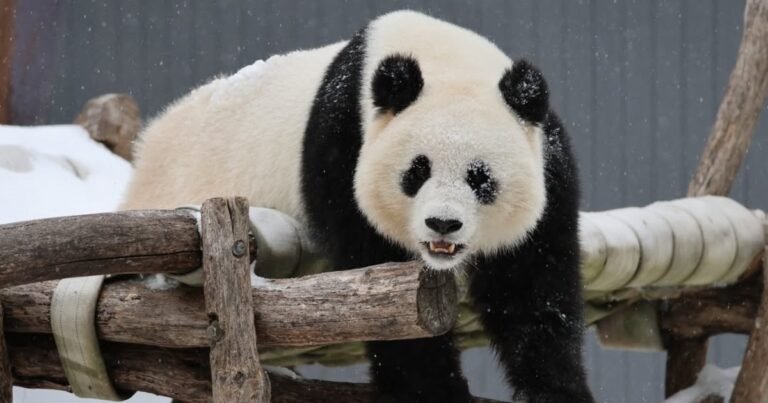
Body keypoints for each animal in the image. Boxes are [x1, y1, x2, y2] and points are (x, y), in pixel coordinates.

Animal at [122, 10, 594, 403]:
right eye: (417, 171)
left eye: (480, 177)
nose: (443, 223)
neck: (442, 60)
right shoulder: (342, 146)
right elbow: (385, 293)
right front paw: (433, 390)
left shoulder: (549, 163)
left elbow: (532, 286)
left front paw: (556, 389)